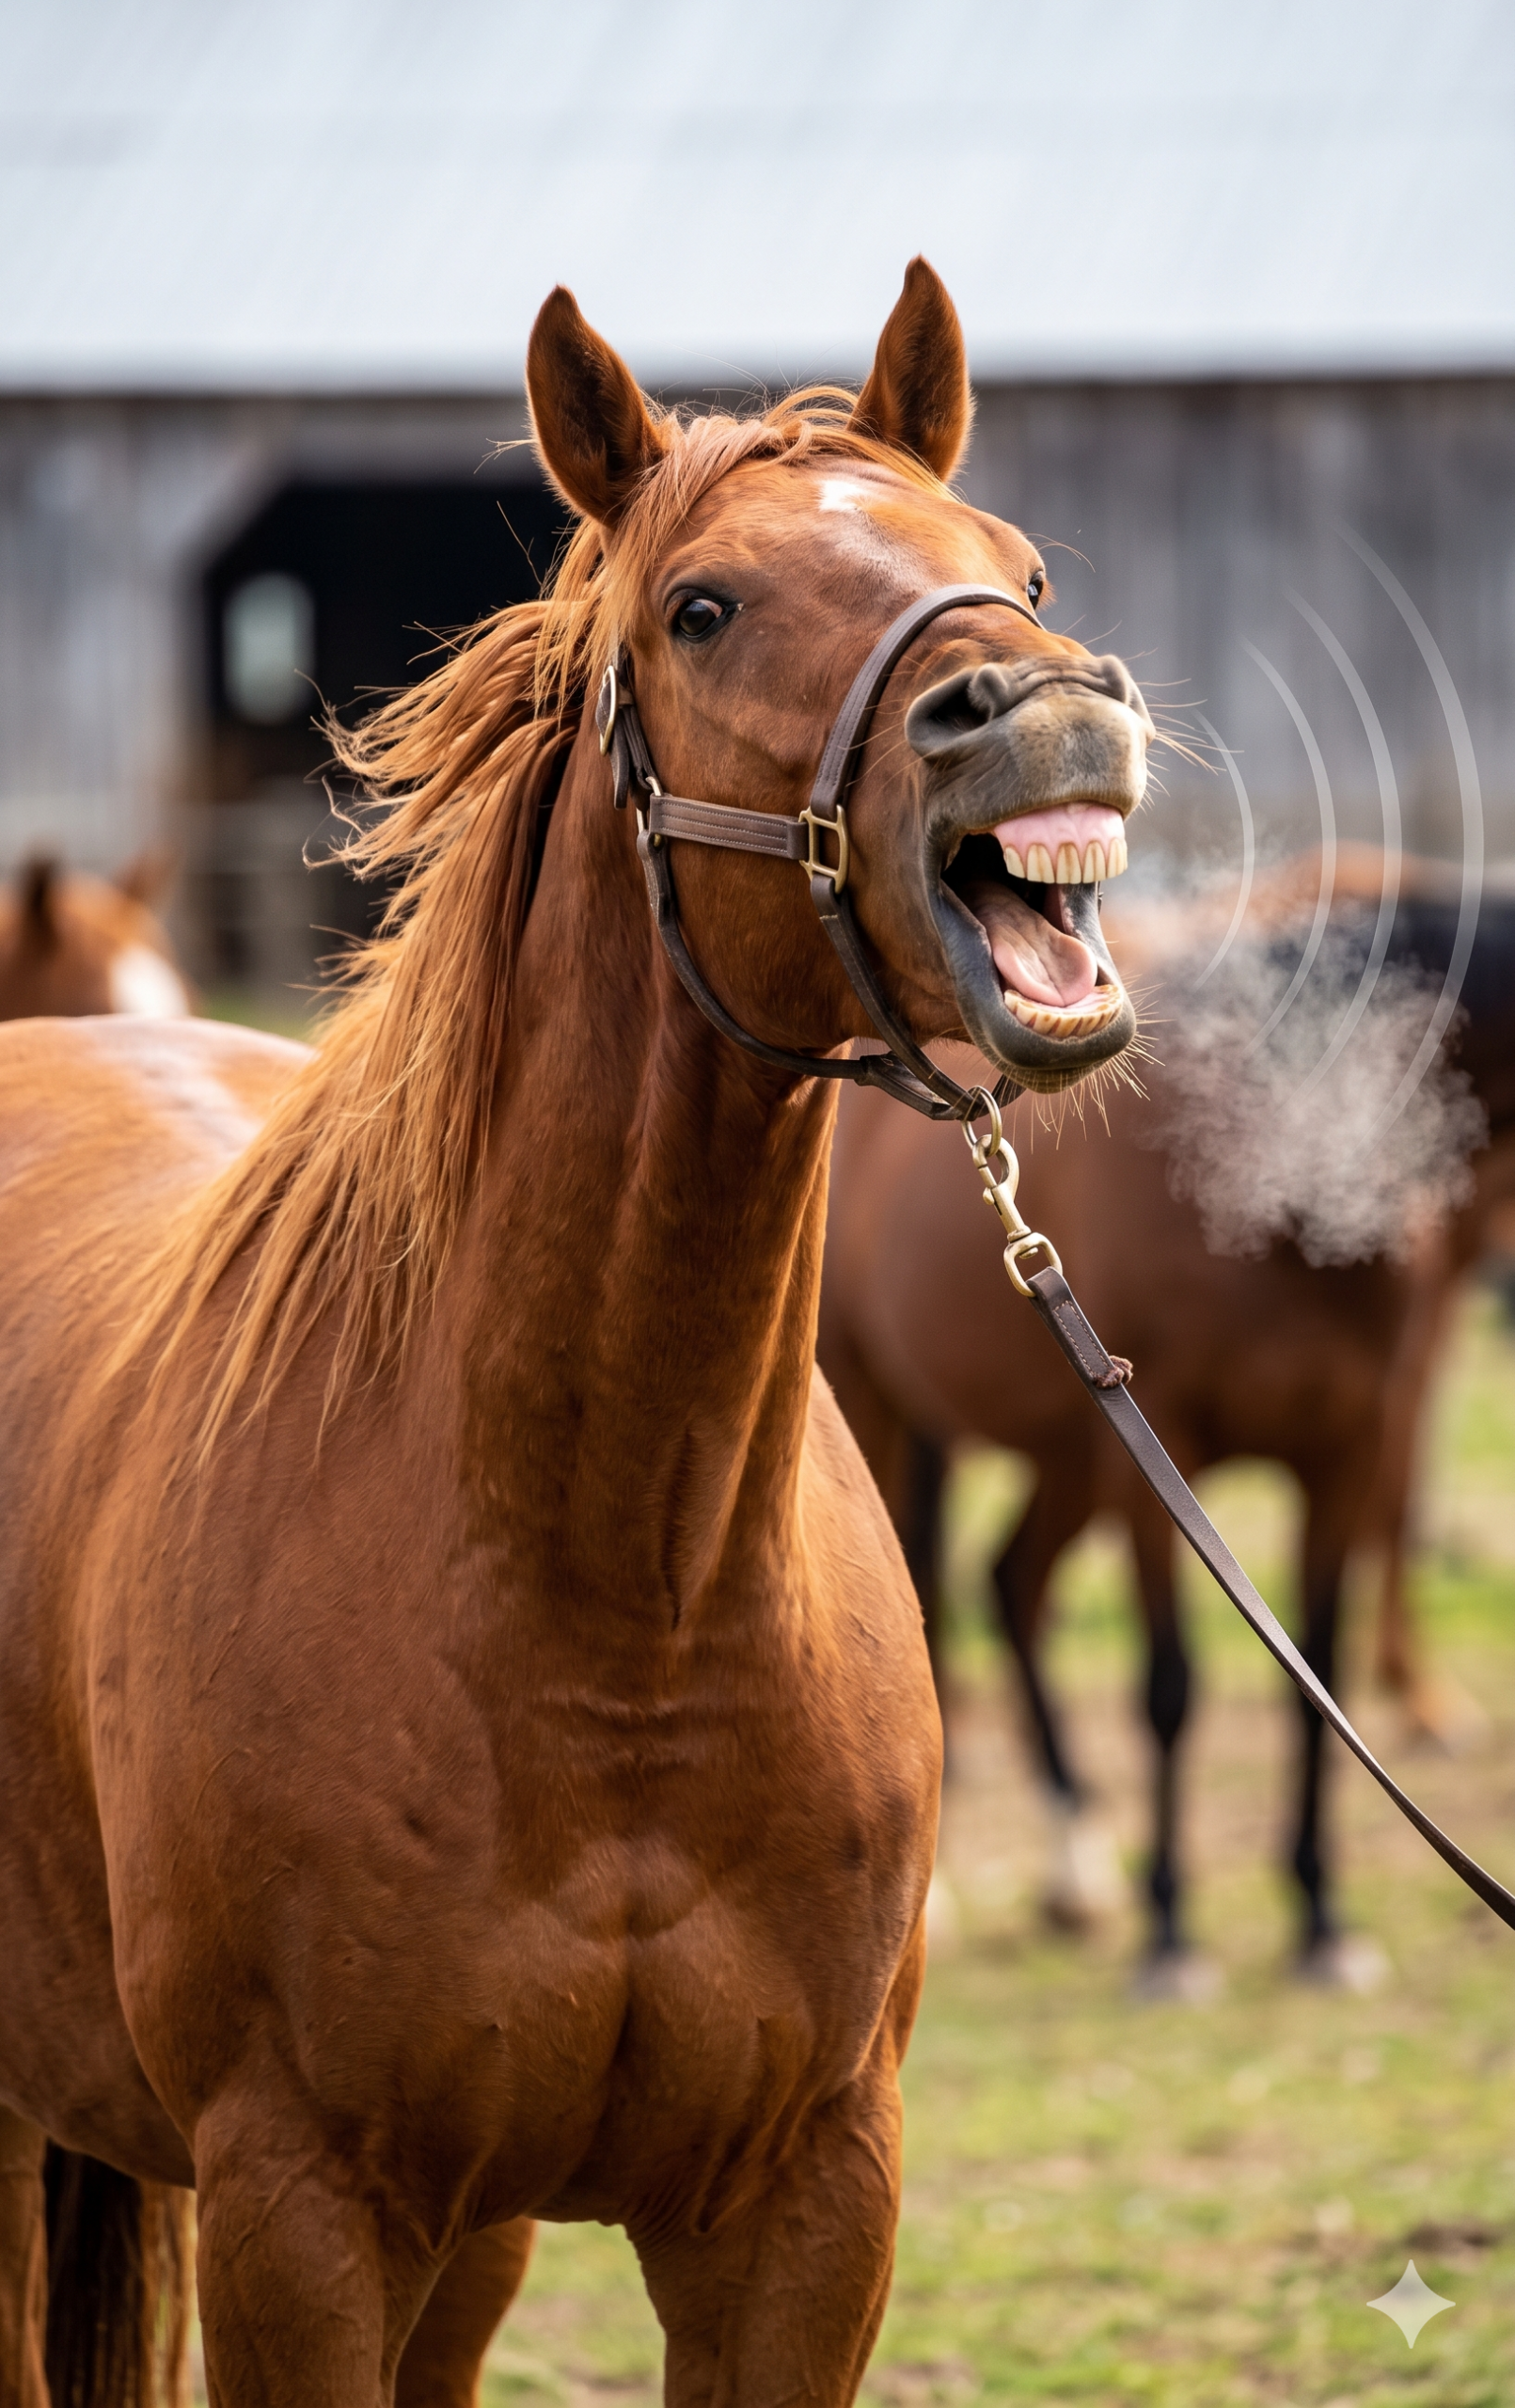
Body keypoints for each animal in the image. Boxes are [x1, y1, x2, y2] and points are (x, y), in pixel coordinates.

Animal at [819, 857, 1515, 1995]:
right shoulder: (1167, 1453)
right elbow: (1170, 1687)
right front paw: (1172, 1934)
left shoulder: (1346, 1450)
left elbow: (1314, 1672)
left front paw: (1320, 1920)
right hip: (884, 1406)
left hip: (1071, 1444)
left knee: (1012, 1584)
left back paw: (1075, 1876)